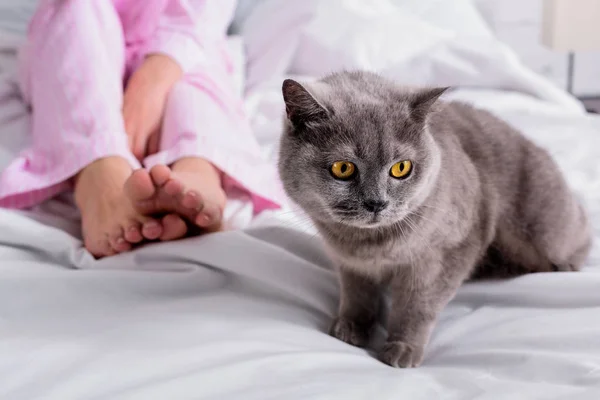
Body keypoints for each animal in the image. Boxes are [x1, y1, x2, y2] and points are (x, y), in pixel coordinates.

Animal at [278, 71, 592, 368]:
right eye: (342, 168)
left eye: (401, 168)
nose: (377, 202)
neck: (369, 245)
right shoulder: (349, 264)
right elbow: (357, 294)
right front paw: (350, 328)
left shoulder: (450, 250)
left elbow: (418, 304)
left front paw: (402, 349)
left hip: (546, 232)